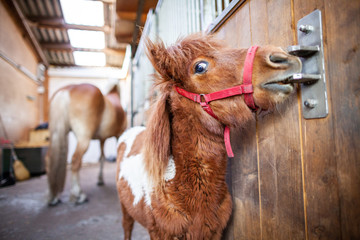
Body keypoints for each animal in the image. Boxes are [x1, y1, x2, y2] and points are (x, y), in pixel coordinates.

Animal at [115, 33, 300, 240]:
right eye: (200, 67)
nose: (281, 58)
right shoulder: (159, 233)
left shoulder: (213, 232)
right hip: (125, 209)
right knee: (126, 227)